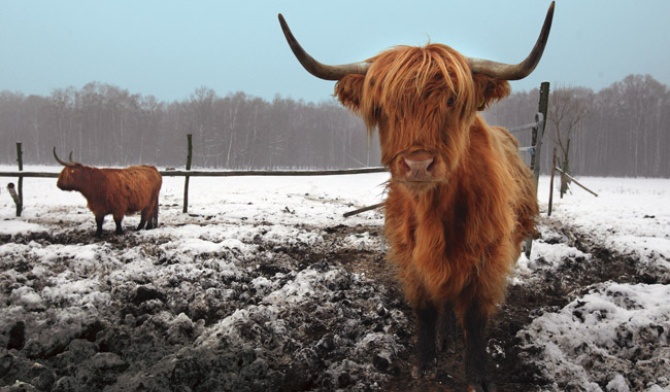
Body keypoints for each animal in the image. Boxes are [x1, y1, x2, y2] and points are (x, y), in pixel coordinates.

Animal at [280, 3, 556, 392]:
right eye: (384, 106)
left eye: (452, 100)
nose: (418, 164)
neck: (434, 213)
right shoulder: (410, 256)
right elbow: (426, 308)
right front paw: (424, 363)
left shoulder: (488, 257)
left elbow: (475, 316)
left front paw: (478, 374)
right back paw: (446, 335)